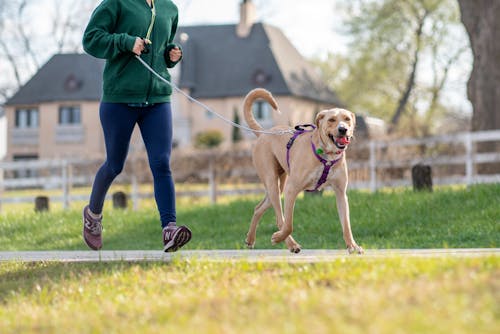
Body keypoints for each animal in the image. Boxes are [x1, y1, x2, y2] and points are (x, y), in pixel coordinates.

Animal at [243, 87, 364, 254]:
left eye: (347, 119)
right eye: (331, 120)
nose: (343, 129)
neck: (327, 155)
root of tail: (264, 133)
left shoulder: (340, 193)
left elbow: (346, 224)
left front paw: (352, 246)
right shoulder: (292, 189)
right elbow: (289, 224)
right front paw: (278, 238)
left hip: (279, 185)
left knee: (258, 208)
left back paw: (250, 239)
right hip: (272, 182)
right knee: (280, 219)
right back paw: (289, 243)